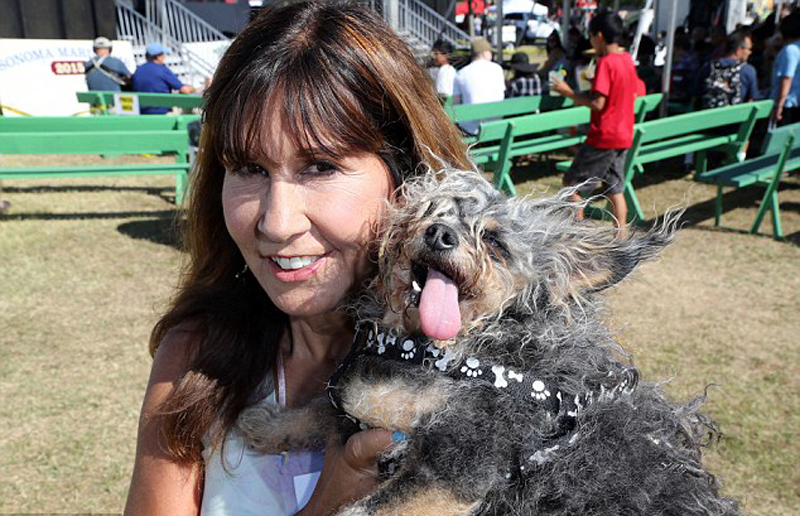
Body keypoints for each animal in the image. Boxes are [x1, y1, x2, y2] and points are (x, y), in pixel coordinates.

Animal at [239, 169, 744, 516]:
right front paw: (267, 425)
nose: (440, 234)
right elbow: (321, 410)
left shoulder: (467, 453)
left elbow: (382, 503)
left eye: (496, 244)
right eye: (433, 212)